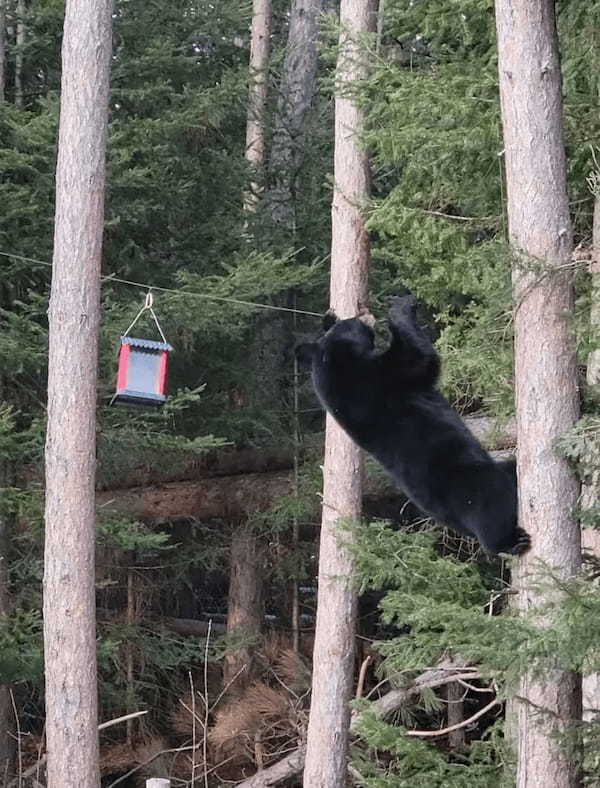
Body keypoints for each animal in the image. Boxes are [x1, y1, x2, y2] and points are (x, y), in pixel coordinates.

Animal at [296, 298, 528, 560]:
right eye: (353, 321)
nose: (362, 312)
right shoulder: (377, 378)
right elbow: (418, 358)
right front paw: (400, 306)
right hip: (471, 484)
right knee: (493, 505)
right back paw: (511, 542)